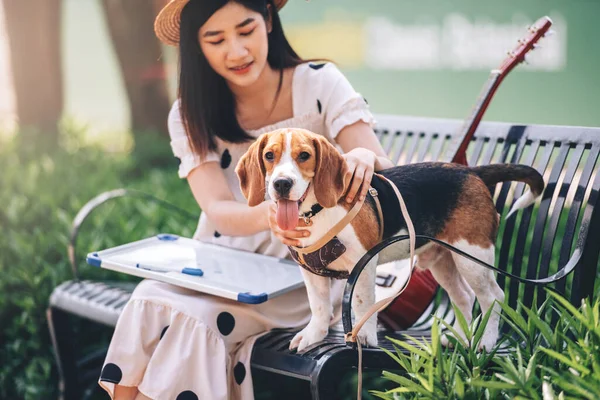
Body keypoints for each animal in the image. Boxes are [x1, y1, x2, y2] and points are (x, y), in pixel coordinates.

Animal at [236, 127, 544, 350]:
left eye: (304, 156)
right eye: (269, 156)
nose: (281, 184)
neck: (316, 213)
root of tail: (471, 171)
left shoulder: (363, 265)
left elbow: (362, 304)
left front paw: (363, 337)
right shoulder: (311, 271)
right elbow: (319, 307)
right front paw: (314, 336)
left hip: (473, 257)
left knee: (493, 297)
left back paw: (486, 342)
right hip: (443, 261)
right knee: (465, 298)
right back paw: (459, 337)